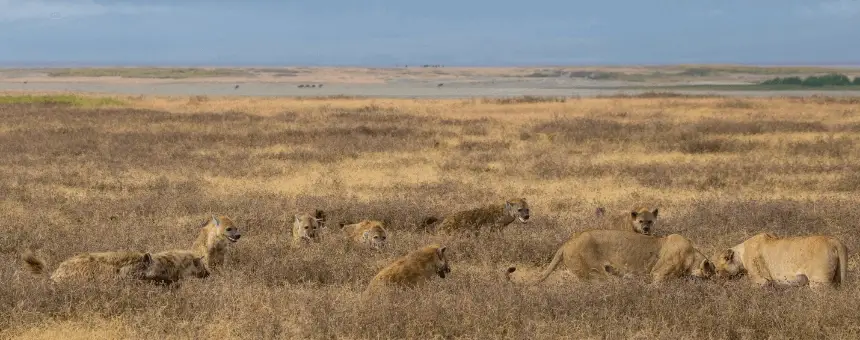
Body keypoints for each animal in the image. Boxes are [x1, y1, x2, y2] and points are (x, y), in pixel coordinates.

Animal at [712, 232, 848, 288]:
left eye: (717, 270)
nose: (716, 280)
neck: (741, 255)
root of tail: (835, 241)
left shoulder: (761, 281)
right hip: (837, 280)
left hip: (819, 282)